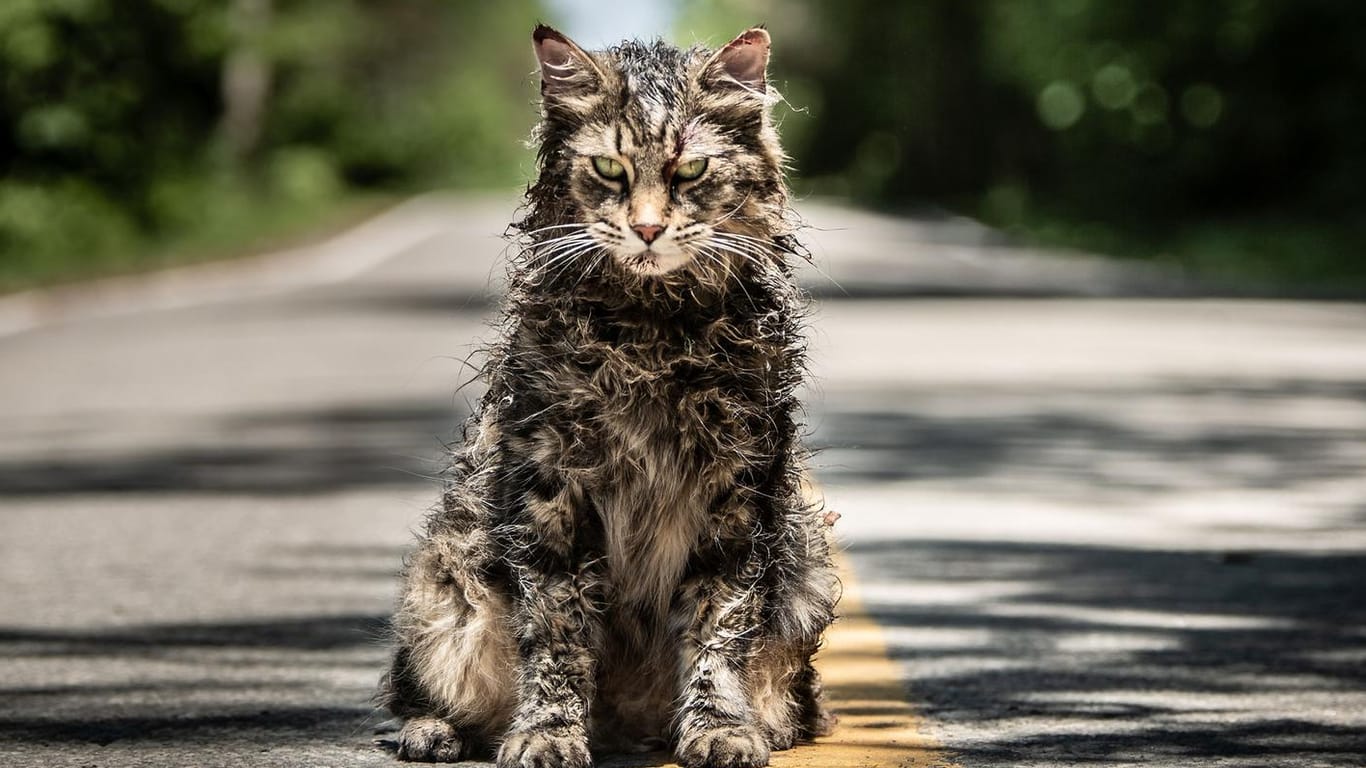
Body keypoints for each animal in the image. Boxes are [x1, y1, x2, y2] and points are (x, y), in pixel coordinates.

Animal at [379, 23, 835, 765]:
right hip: (444, 579)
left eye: (690, 172)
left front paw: (718, 727)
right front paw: (547, 733)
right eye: (609, 170)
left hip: (807, 565)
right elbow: (557, 636)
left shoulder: (737, 492)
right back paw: (434, 732)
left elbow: (719, 627)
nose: (647, 229)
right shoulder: (551, 490)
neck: (651, 333)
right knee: (417, 690)